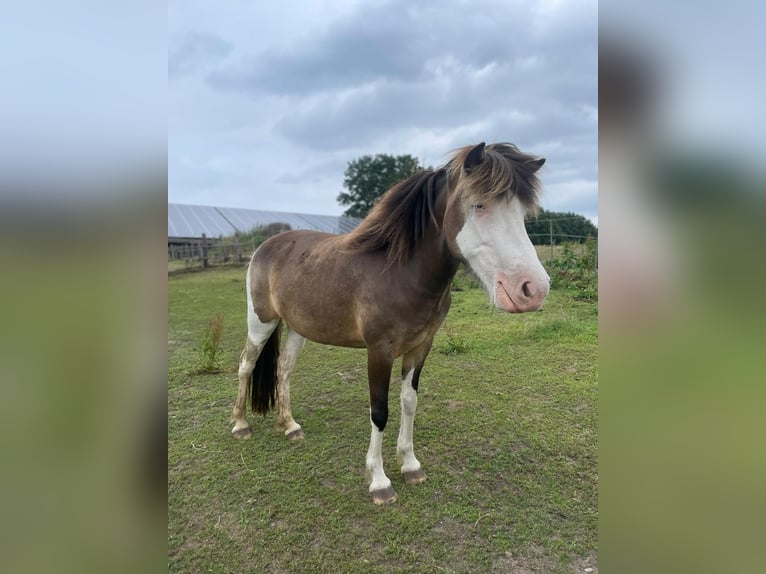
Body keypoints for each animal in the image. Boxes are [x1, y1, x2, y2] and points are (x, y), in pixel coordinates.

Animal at [231, 142, 550, 504]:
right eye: (480, 205)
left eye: (522, 213)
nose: (533, 289)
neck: (399, 272)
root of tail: (266, 246)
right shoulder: (379, 351)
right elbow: (379, 410)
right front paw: (380, 481)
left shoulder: (421, 347)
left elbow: (408, 403)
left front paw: (410, 465)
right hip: (261, 321)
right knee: (246, 366)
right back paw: (240, 424)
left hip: (298, 327)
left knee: (283, 369)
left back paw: (289, 426)